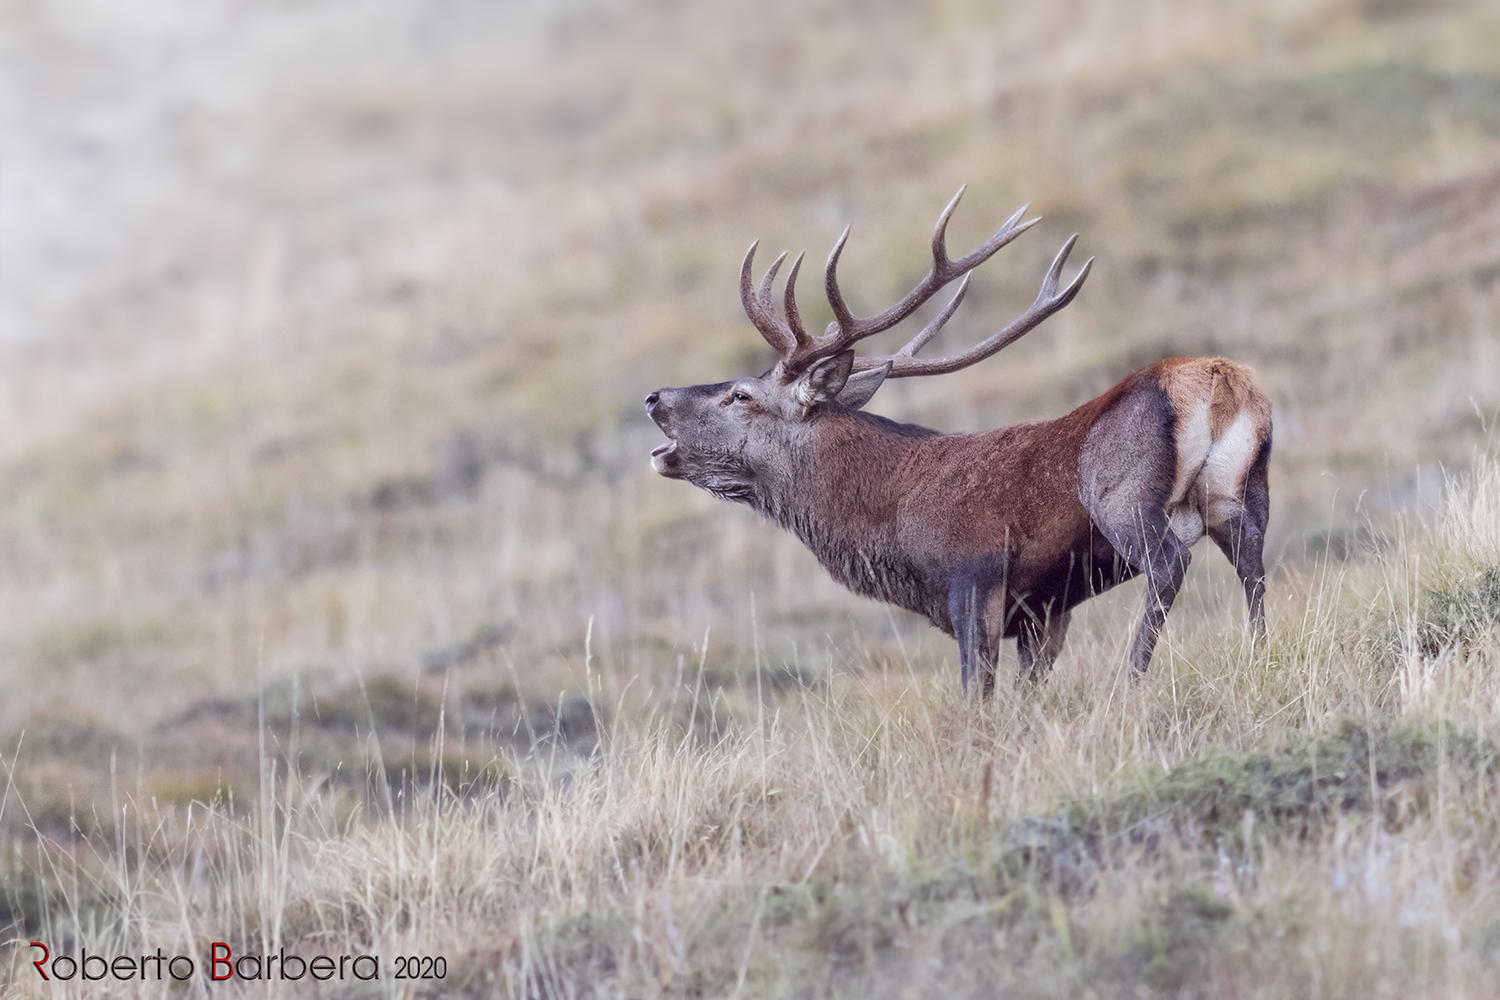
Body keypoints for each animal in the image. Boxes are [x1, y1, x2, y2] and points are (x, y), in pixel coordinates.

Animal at [644, 188, 1272, 698]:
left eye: (741, 395)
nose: (654, 398)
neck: (892, 524)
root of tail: (1220, 381)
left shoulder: (975, 574)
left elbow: (978, 693)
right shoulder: (1046, 607)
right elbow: (1025, 695)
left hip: (1124, 497)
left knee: (1170, 564)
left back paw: (1131, 682)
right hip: (1241, 494)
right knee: (1253, 565)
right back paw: (1259, 659)